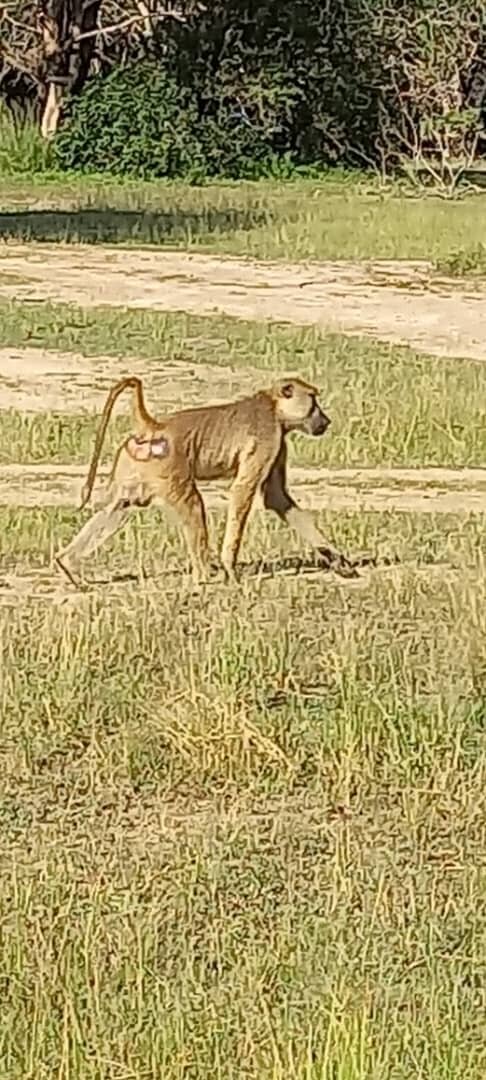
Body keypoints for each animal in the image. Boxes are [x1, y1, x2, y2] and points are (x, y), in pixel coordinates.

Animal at [54, 375, 358, 586]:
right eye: (313, 401)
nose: (325, 420)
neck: (273, 407)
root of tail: (154, 427)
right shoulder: (268, 437)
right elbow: (243, 491)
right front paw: (229, 568)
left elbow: (276, 498)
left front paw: (337, 559)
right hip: (168, 468)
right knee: (192, 506)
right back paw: (203, 576)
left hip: (137, 463)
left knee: (119, 507)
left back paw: (69, 565)